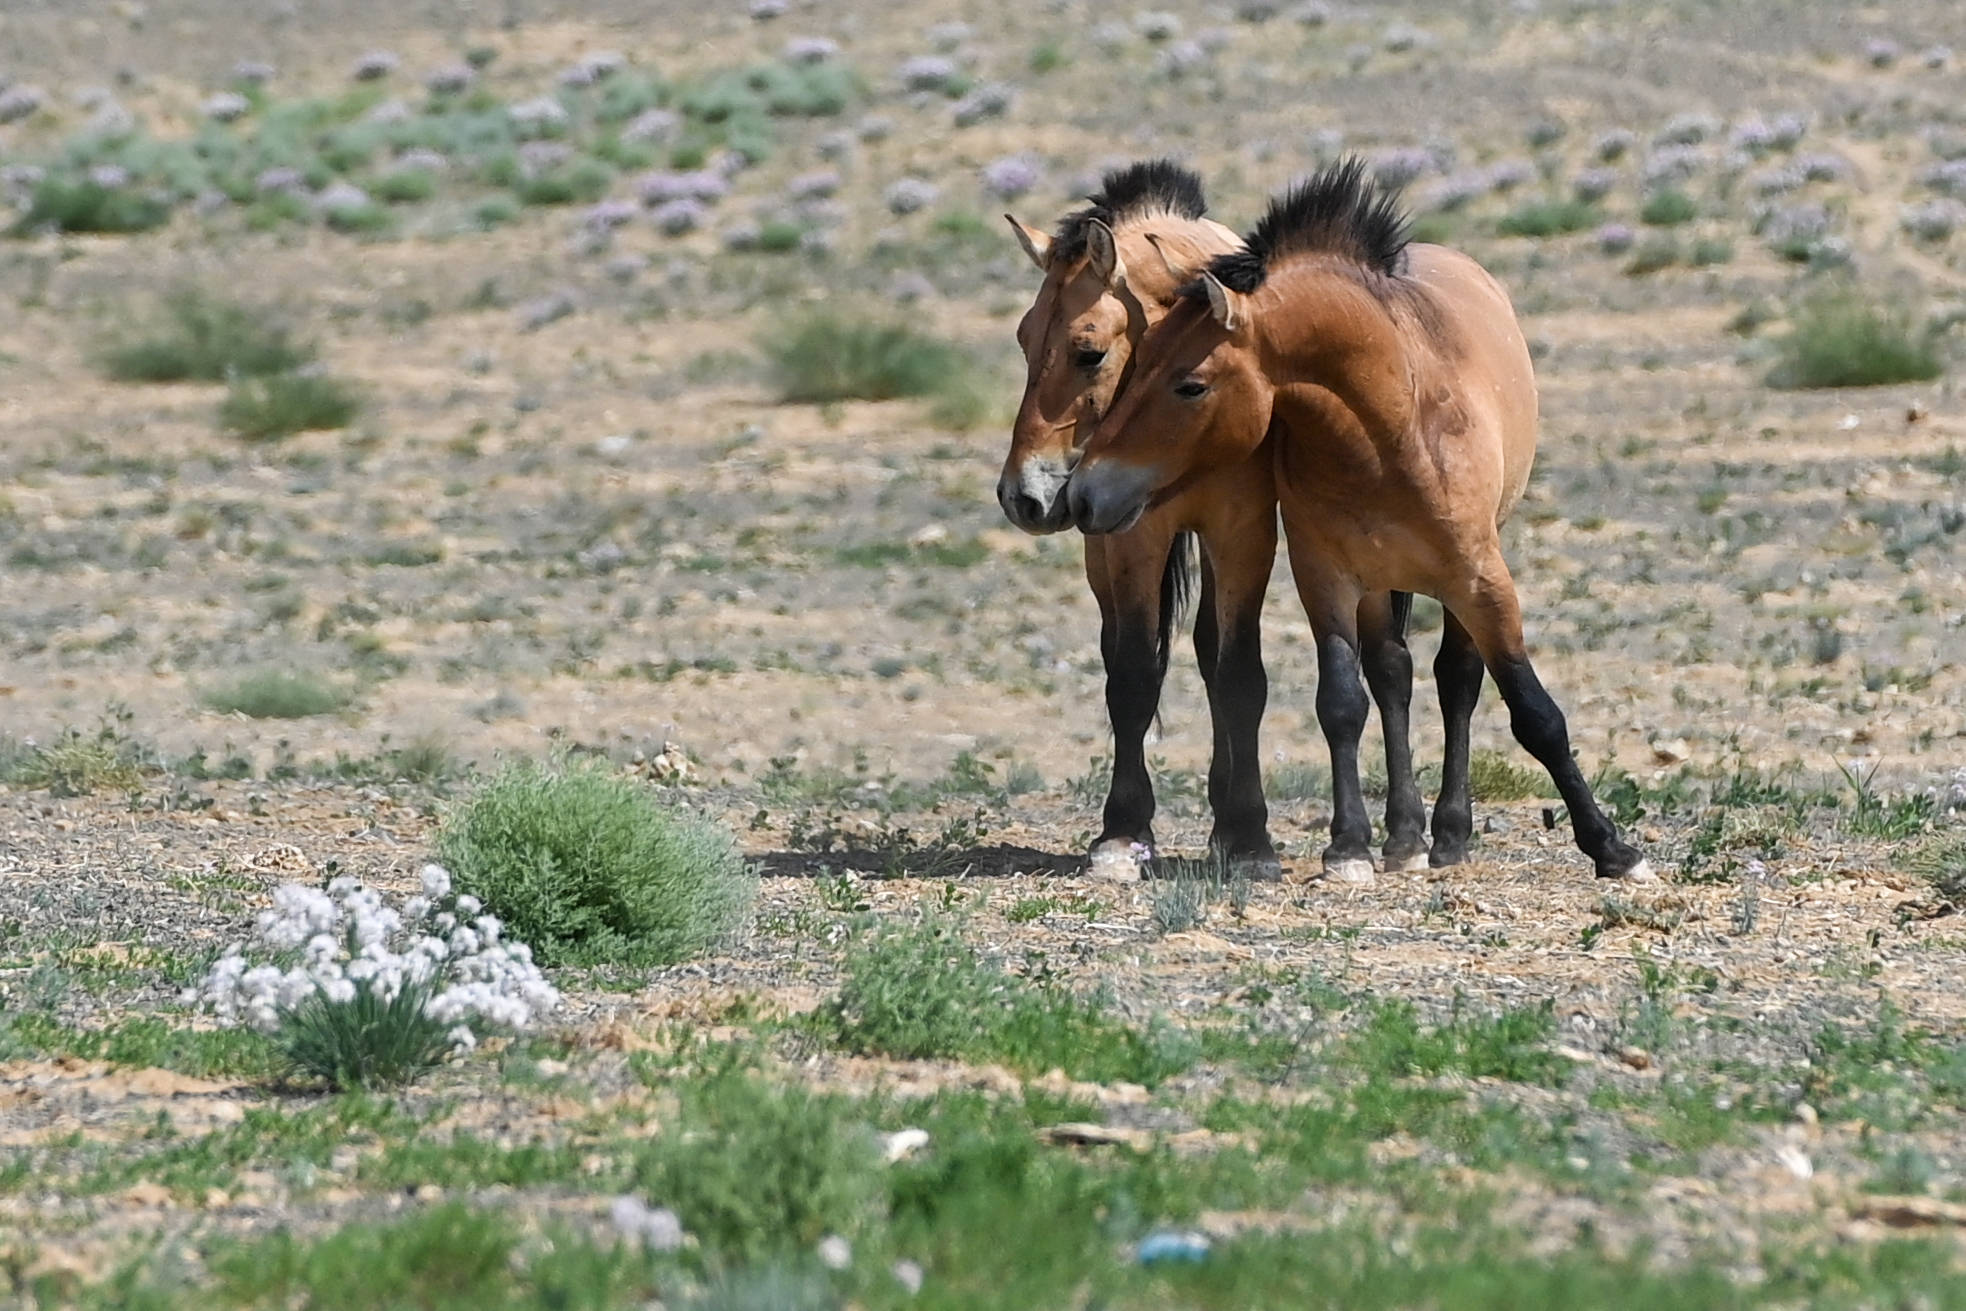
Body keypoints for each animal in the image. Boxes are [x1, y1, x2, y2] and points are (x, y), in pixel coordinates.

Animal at [1006, 164, 1439, 880]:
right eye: (1022, 337)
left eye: (1088, 351)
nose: (1023, 497)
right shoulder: (1134, 539)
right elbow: (1134, 672)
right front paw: (1122, 833)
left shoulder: (1243, 533)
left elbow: (1239, 675)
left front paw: (1249, 837)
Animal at [1069, 161, 1651, 880]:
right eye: (1136, 361)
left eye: (1190, 384)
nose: (1084, 492)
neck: (1391, 429)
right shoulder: (1326, 575)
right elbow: (1343, 701)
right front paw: (1349, 846)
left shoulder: (1481, 580)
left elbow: (1534, 712)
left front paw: (1614, 848)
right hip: (1378, 584)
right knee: (1393, 673)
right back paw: (1404, 836)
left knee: (1457, 681)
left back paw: (1450, 834)